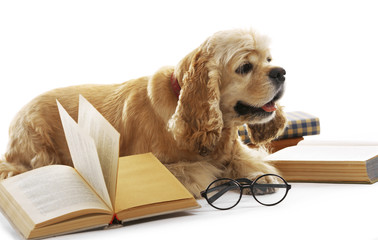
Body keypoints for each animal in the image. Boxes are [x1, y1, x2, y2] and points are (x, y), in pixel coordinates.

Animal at [0, 28, 286, 197]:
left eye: (269, 60)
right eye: (245, 67)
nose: (281, 72)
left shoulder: (234, 148)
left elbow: (245, 159)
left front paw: (257, 177)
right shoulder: (158, 162)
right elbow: (199, 170)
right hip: (38, 149)